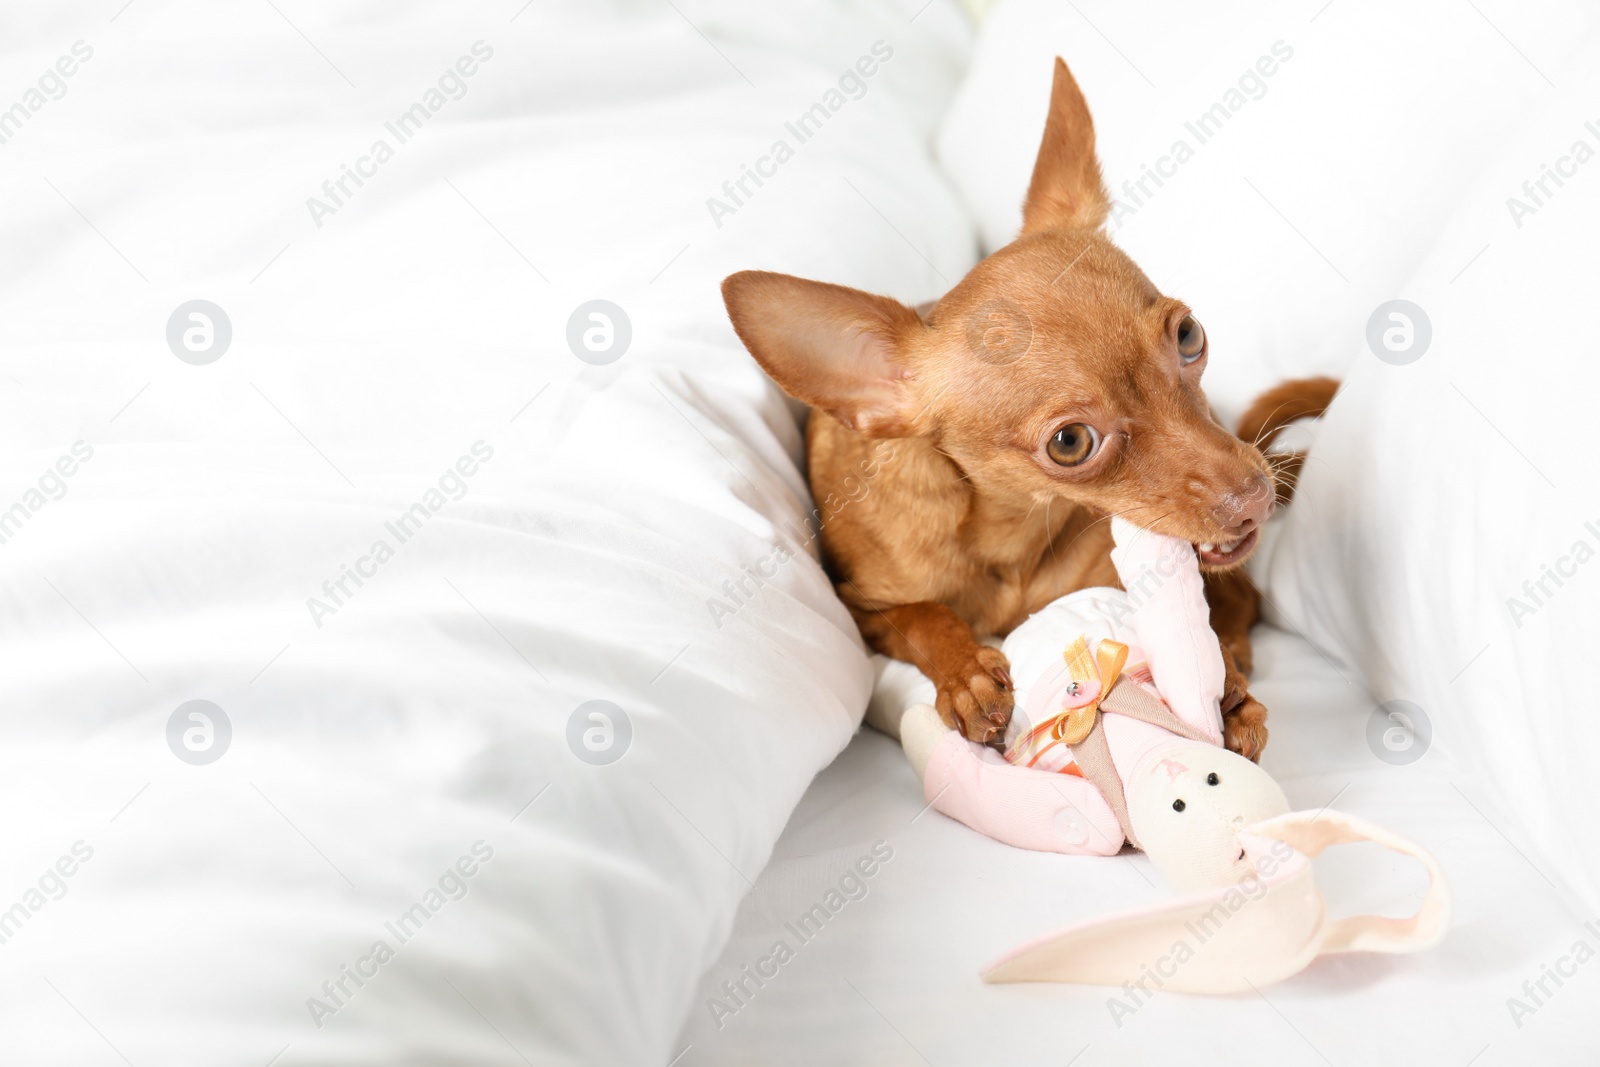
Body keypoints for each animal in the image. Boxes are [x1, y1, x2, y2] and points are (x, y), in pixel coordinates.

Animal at [723, 56, 1324, 758]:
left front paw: (1221, 684)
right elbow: (923, 615)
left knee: (1243, 598)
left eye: (1189, 336)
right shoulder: (859, 606)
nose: (1255, 496)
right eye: (1070, 443)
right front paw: (966, 674)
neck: (1013, 530)